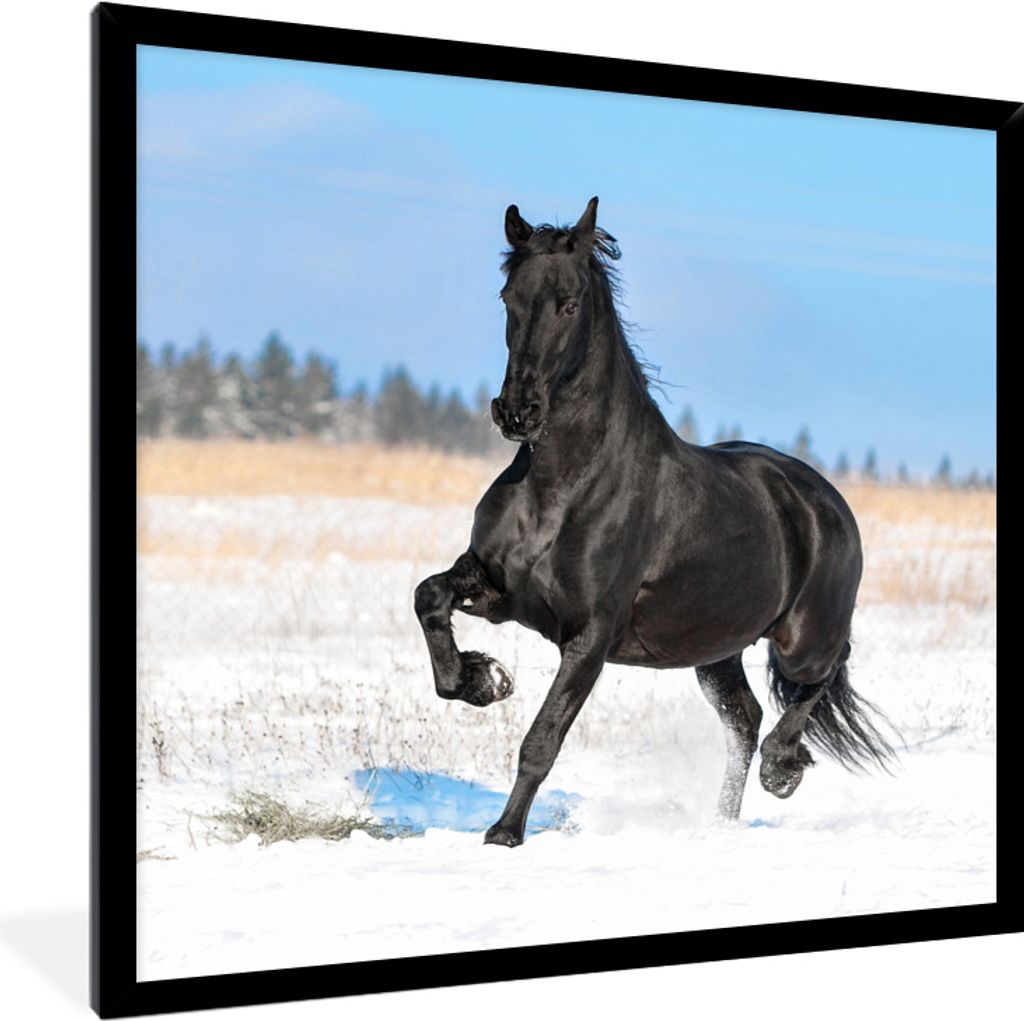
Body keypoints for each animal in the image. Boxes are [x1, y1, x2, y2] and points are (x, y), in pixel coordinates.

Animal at [414, 197, 896, 847]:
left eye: (569, 303)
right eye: (507, 297)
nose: (517, 412)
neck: (564, 487)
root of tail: (826, 499)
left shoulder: (589, 636)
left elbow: (542, 741)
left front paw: (504, 834)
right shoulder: (497, 590)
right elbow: (430, 597)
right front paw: (483, 678)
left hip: (802, 640)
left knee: (825, 668)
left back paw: (782, 768)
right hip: (717, 647)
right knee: (745, 717)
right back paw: (721, 822)